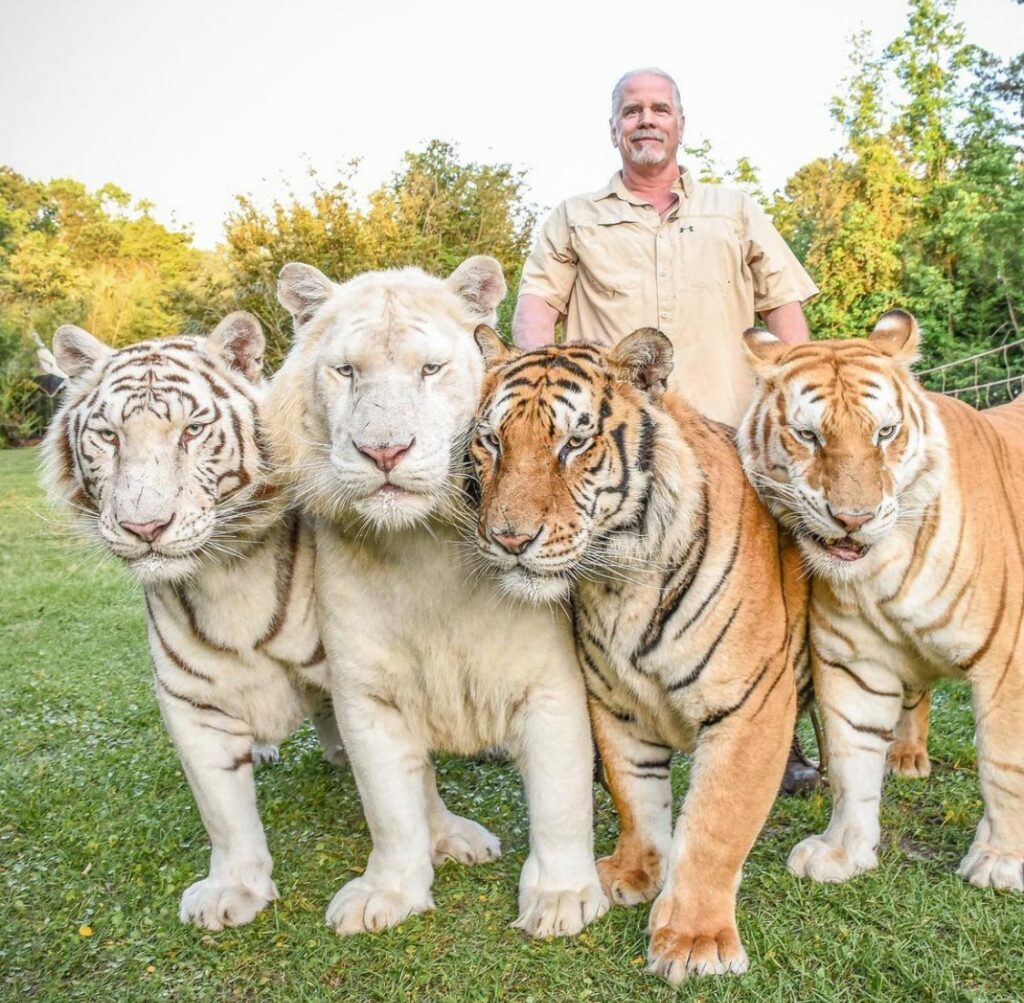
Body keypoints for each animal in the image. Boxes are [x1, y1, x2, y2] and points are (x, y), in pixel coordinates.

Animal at [40, 313, 348, 931]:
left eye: (192, 431)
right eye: (108, 436)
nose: (144, 527)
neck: (227, 577)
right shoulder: (191, 703)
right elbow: (223, 812)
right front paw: (235, 889)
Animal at [262, 256, 609, 939]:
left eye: (430, 368)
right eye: (346, 371)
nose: (384, 451)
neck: (420, 551)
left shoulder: (553, 685)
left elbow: (561, 801)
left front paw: (561, 898)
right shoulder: (365, 696)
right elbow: (391, 811)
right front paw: (388, 891)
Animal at [469, 326, 809, 985]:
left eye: (574, 442)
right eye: (491, 440)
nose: (509, 540)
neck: (618, 579)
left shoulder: (748, 708)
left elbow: (714, 824)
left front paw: (695, 939)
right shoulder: (615, 706)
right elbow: (637, 799)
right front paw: (633, 875)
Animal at [738, 309, 1024, 893]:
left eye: (885, 432)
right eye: (808, 435)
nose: (854, 518)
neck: (880, 575)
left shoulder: (1007, 660)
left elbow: (1004, 763)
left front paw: (1000, 859)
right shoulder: (854, 661)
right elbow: (853, 758)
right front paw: (842, 851)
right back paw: (908, 758)